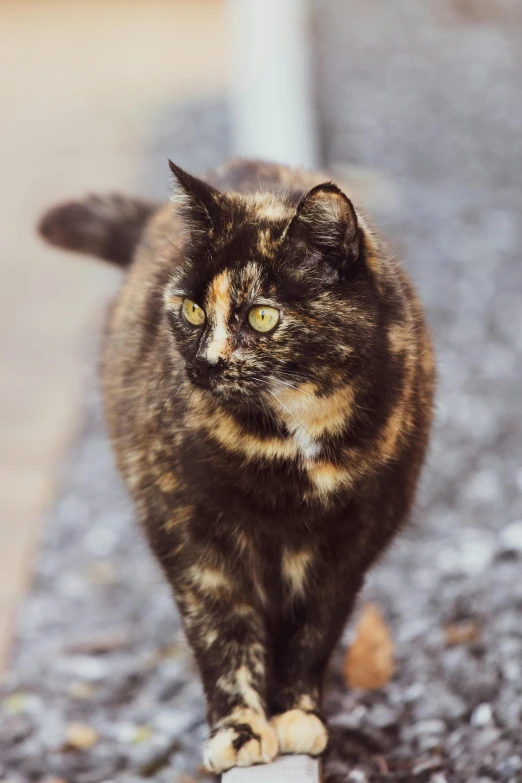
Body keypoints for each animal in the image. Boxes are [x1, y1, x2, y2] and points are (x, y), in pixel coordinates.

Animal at [38, 158, 432, 772]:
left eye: (263, 316)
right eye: (192, 309)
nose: (203, 364)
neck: (294, 438)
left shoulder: (350, 541)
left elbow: (315, 631)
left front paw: (297, 714)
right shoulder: (194, 539)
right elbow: (223, 635)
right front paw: (241, 730)